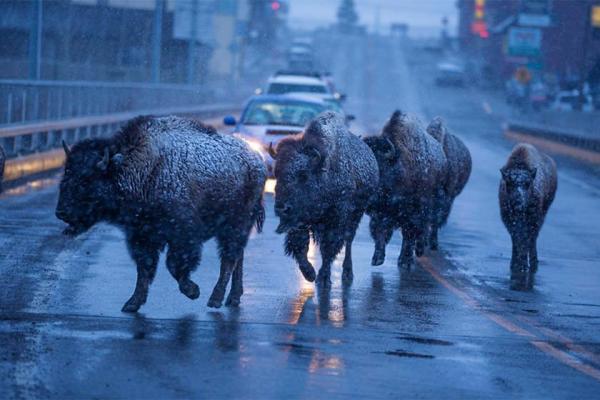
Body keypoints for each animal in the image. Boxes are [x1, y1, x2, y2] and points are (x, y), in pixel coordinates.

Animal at [56, 115, 268, 312]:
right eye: (66, 172)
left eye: (86, 180)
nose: (61, 212)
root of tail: (257, 160)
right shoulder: (141, 235)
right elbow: (144, 268)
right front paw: (132, 303)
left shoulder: (183, 235)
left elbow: (174, 265)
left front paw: (193, 291)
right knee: (237, 257)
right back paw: (233, 298)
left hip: (235, 224)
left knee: (229, 259)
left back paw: (215, 299)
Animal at [270, 111, 378, 286]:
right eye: (276, 173)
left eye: (303, 175)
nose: (282, 208)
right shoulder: (300, 221)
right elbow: (299, 245)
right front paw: (309, 273)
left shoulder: (335, 220)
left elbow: (329, 248)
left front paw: (323, 277)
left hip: (357, 214)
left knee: (348, 240)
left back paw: (347, 273)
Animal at [364, 111, 448, 268]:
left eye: (379, 167)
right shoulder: (381, 213)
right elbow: (380, 232)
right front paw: (377, 259)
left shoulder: (413, 213)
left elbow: (409, 235)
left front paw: (405, 262)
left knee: (425, 228)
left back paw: (420, 250)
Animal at [500, 143, 556, 288]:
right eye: (509, 183)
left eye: (527, 183)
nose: (518, 201)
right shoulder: (510, 221)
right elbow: (517, 239)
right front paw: (516, 263)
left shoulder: (533, 220)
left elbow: (527, 239)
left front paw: (523, 265)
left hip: (543, 213)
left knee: (533, 238)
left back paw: (534, 262)